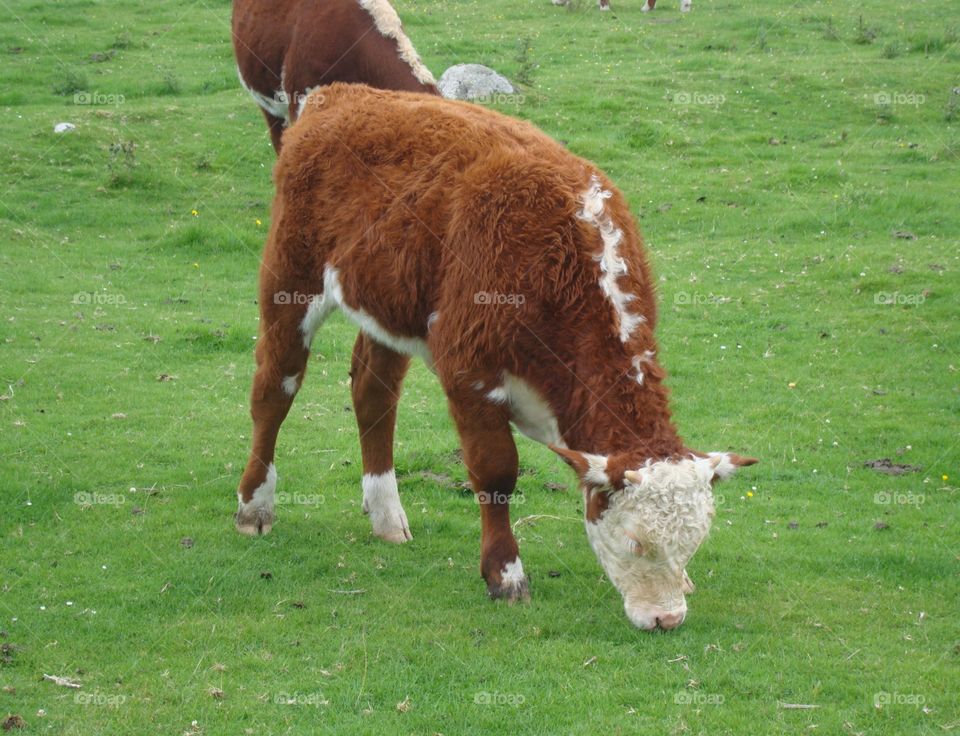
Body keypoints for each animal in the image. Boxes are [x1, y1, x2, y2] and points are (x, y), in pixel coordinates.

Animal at [234, 83, 756, 630]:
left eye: (693, 542)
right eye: (636, 541)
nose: (667, 619)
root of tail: (339, 94)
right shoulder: (470, 370)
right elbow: (497, 470)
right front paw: (505, 574)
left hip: (387, 303)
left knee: (373, 393)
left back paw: (386, 516)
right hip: (290, 278)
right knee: (274, 388)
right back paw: (255, 507)